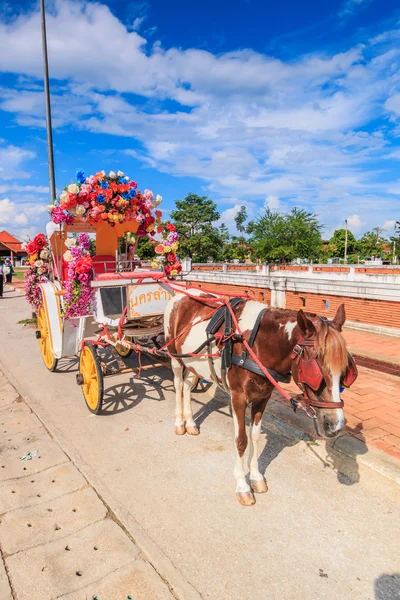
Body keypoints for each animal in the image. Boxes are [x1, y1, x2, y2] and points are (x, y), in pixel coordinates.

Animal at [164, 290, 358, 506]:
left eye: (346, 371)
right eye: (316, 372)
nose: (336, 425)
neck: (254, 346)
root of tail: (180, 296)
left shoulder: (263, 397)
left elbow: (255, 436)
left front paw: (256, 477)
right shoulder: (238, 398)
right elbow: (241, 440)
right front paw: (242, 485)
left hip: (192, 361)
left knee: (188, 385)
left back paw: (190, 423)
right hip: (175, 357)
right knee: (179, 384)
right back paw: (179, 423)